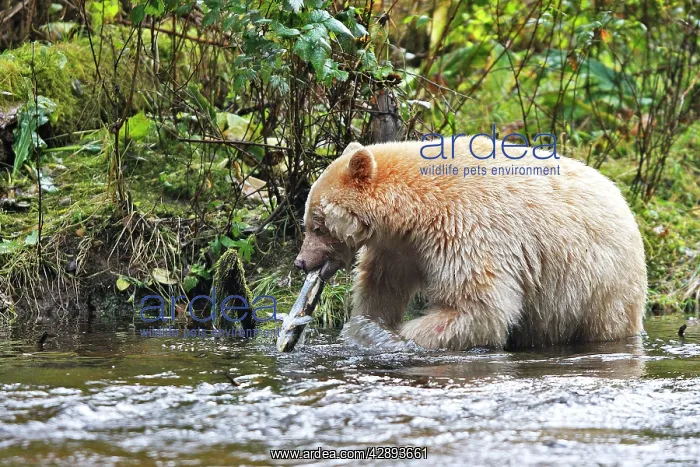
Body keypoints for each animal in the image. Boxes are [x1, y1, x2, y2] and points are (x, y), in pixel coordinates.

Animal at [293, 138, 647, 350]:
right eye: (308, 221)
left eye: (317, 224)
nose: (301, 262)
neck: (416, 210)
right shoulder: (400, 247)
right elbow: (381, 289)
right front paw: (368, 325)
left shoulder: (466, 229)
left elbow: (478, 307)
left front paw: (398, 336)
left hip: (599, 284)